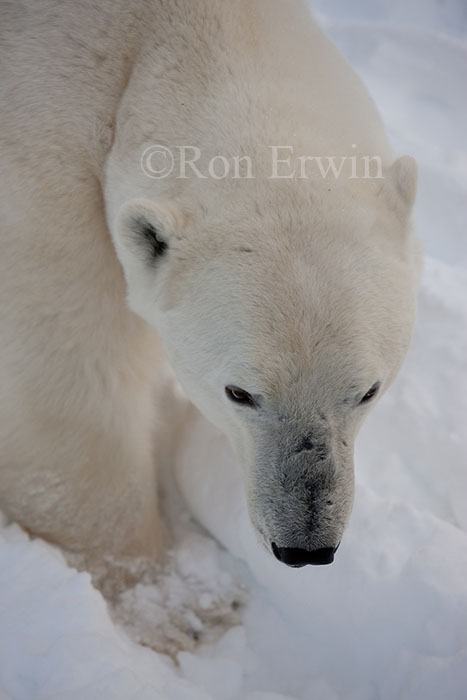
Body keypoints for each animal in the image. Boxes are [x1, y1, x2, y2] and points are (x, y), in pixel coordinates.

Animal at [0, 0, 421, 591]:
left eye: (368, 391)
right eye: (238, 393)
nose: (306, 548)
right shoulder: (41, 156)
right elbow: (67, 365)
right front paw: (164, 590)